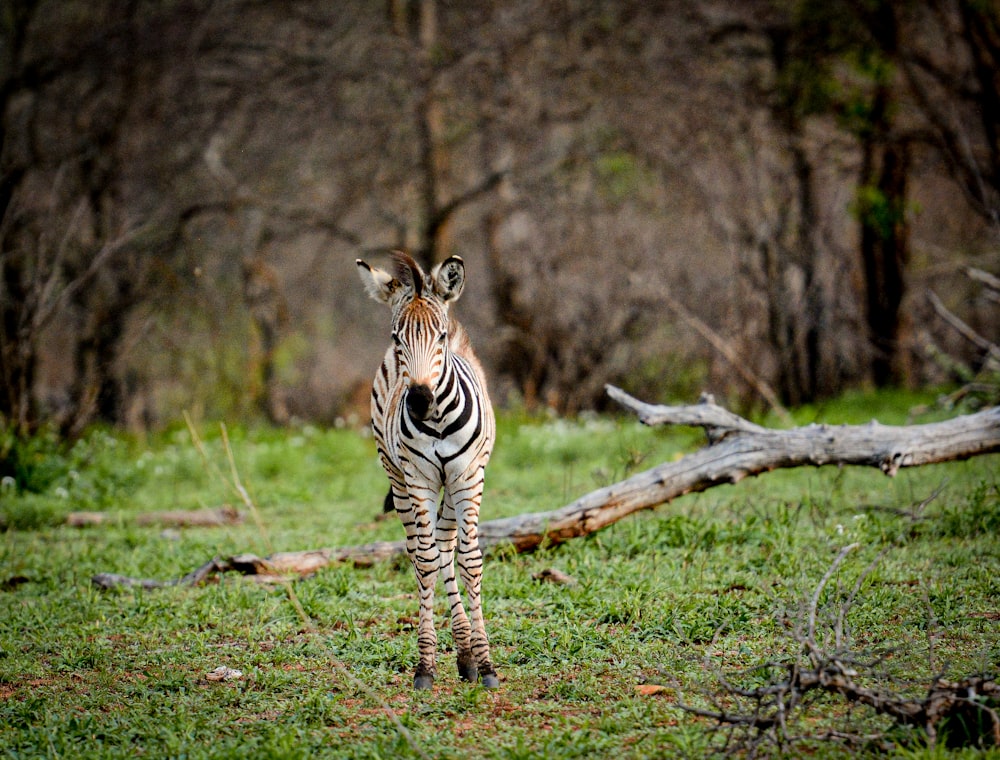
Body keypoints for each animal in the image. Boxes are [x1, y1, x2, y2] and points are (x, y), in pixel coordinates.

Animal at [358, 252, 500, 692]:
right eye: (396, 338)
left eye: (439, 337)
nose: (419, 401)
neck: (436, 421)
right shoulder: (418, 479)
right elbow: (424, 560)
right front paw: (425, 665)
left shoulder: (467, 477)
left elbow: (469, 560)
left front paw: (486, 664)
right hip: (397, 477)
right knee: (427, 551)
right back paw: (459, 653)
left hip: (456, 486)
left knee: (447, 545)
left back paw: (467, 655)